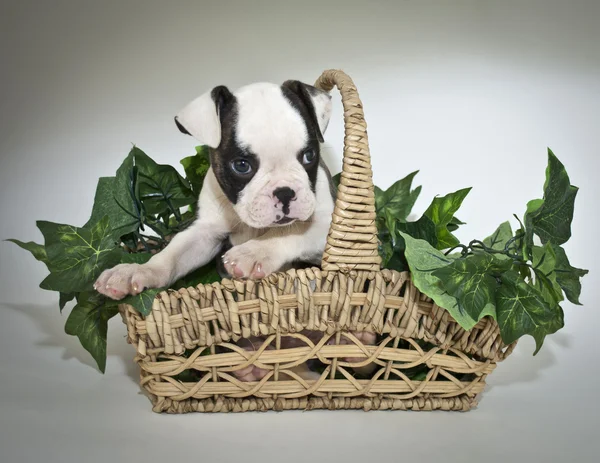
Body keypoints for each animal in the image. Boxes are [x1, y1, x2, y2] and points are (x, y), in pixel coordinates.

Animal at [96, 80, 336, 300]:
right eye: (241, 165)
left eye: (309, 155)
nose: (285, 192)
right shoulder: (204, 232)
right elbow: (172, 254)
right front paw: (137, 270)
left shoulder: (330, 225)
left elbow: (292, 230)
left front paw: (253, 251)